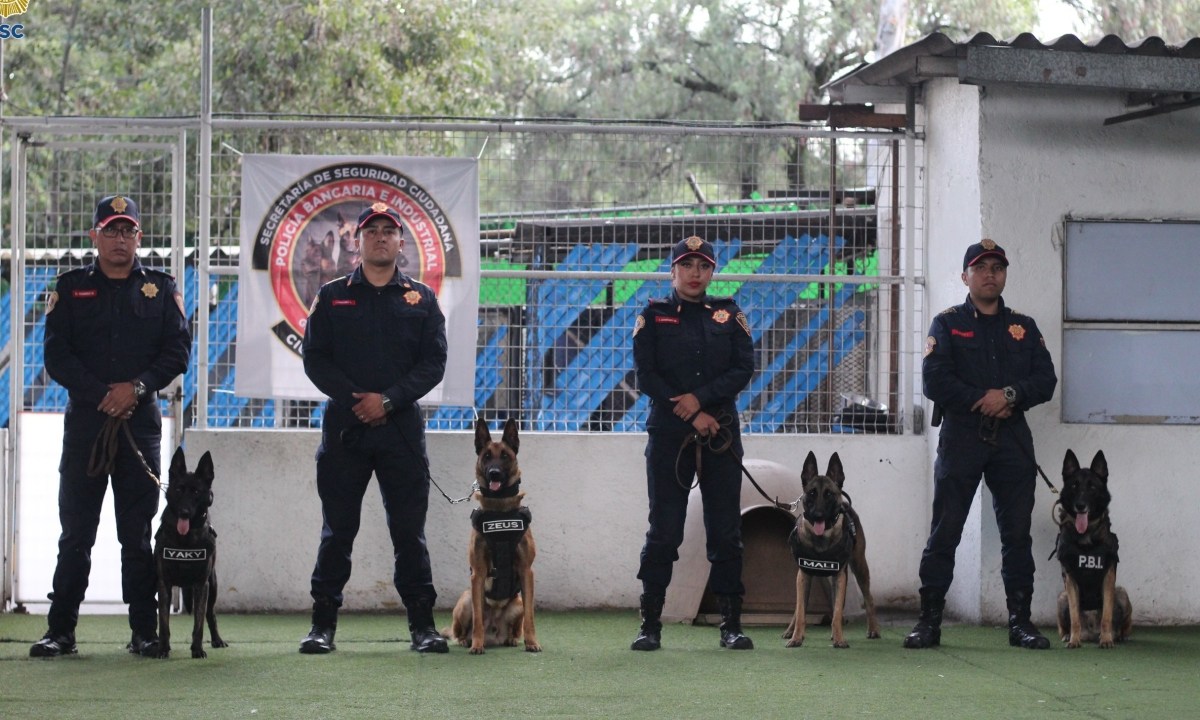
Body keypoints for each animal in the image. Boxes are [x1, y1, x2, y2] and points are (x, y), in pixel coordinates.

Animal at [444, 420, 542, 657]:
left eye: (505, 456)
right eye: (487, 456)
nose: (494, 474)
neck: (500, 509)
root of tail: (494, 634)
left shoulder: (527, 571)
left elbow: (530, 616)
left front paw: (532, 642)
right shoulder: (478, 573)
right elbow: (478, 617)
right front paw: (476, 645)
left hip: (516, 602)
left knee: (516, 626)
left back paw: (512, 639)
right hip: (466, 599)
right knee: (459, 630)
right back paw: (467, 640)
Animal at [777, 453, 883, 648]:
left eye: (829, 494)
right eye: (812, 493)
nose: (818, 515)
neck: (821, 539)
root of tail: (846, 504)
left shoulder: (839, 576)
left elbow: (837, 612)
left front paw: (839, 638)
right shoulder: (803, 575)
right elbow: (801, 611)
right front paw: (796, 637)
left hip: (859, 567)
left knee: (868, 599)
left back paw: (872, 629)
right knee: (799, 608)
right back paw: (790, 631)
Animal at [1056, 451, 1128, 648]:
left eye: (1092, 487)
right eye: (1074, 485)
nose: (1080, 505)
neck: (1086, 536)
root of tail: (1090, 633)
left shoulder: (1108, 578)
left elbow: (1106, 616)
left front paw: (1106, 639)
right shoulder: (1070, 580)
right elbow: (1074, 617)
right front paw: (1074, 640)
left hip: (1122, 593)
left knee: (1123, 625)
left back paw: (1118, 636)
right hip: (1062, 597)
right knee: (1064, 626)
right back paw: (1069, 636)